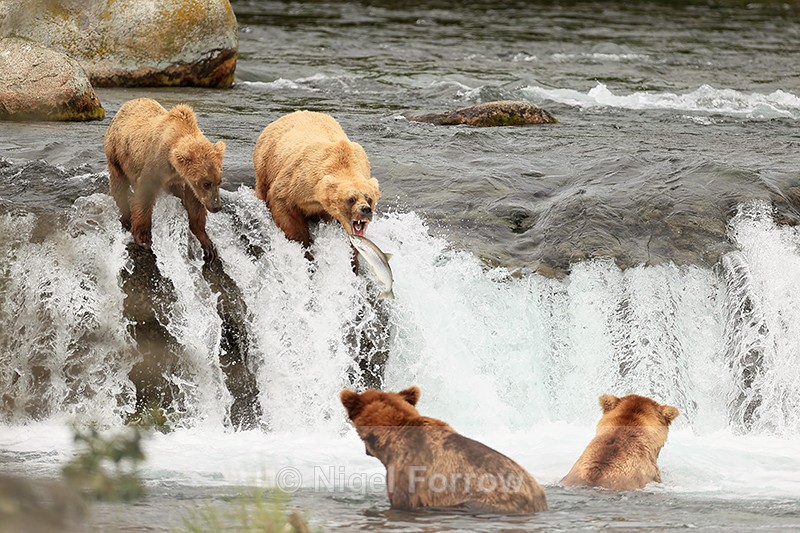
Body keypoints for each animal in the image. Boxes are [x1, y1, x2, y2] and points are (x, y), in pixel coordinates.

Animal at [104, 98, 226, 262]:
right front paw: (143, 239)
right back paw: (126, 218)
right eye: (206, 183)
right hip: (117, 152)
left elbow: (195, 204)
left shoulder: (185, 178)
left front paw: (207, 244)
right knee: (118, 185)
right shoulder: (158, 163)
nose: (216, 206)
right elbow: (145, 195)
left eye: (219, 182)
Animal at [252, 110, 380, 250]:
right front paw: (302, 241)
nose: (365, 210)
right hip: (265, 162)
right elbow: (282, 203)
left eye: (369, 198)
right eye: (351, 199)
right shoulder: (298, 180)